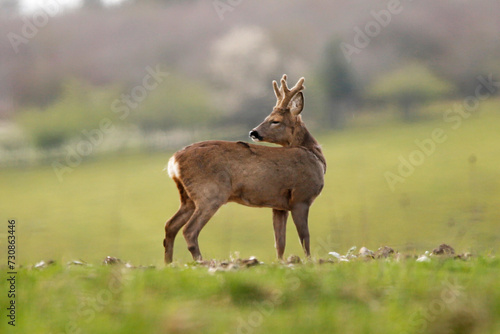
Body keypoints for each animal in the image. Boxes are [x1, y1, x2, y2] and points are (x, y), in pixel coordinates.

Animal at [164, 74, 326, 262]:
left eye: (275, 121)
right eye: (269, 118)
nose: (253, 133)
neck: (314, 156)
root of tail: (173, 161)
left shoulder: (279, 205)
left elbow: (279, 242)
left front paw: (281, 262)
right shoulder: (301, 197)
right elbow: (304, 237)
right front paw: (309, 261)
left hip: (188, 197)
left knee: (170, 226)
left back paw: (169, 263)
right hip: (210, 193)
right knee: (189, 230)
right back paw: (200, 261)